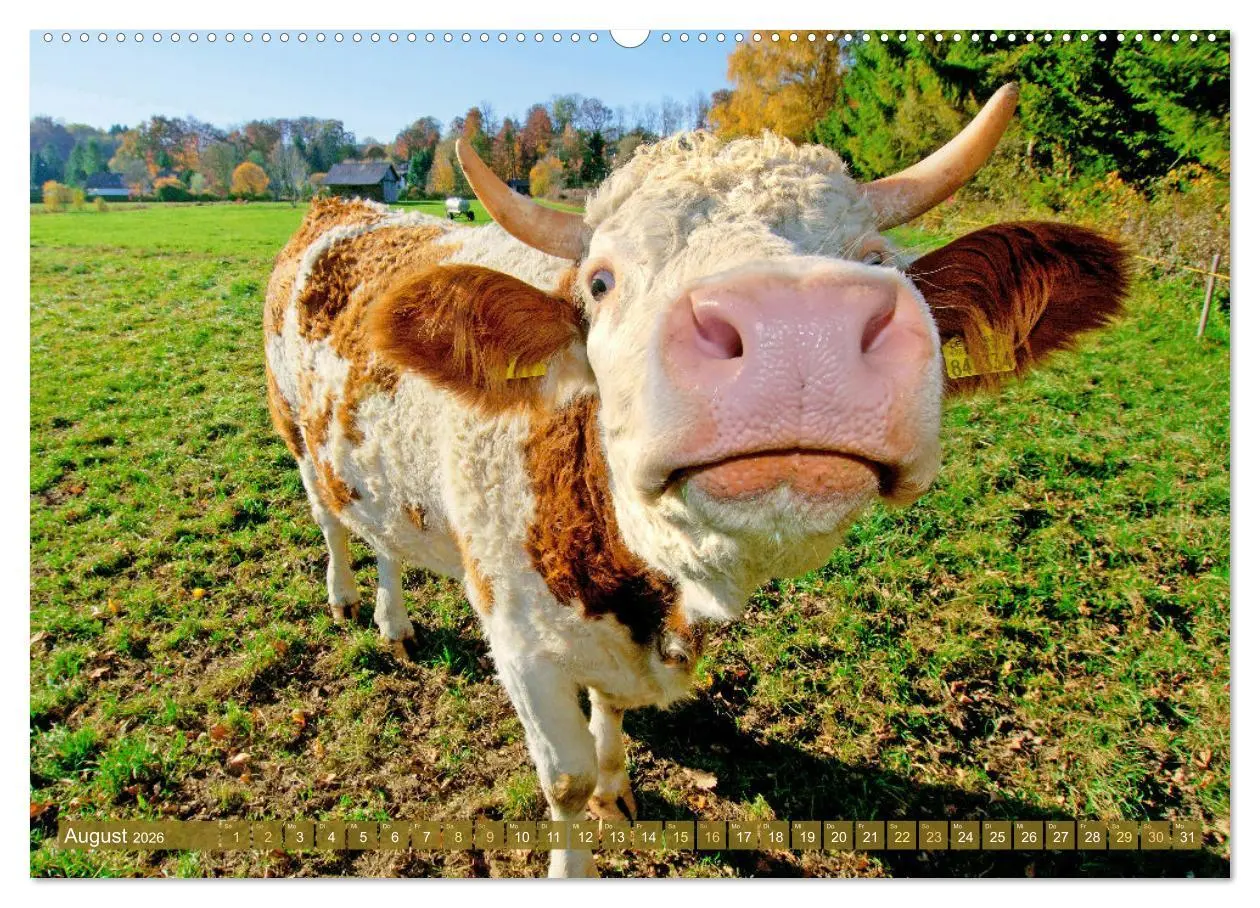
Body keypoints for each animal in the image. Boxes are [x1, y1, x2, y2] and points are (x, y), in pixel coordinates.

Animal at [263, 84, 1126, 877]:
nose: (795, 333)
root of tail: (336, 204)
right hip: (295, 431)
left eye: (878, 260)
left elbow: (609, 720)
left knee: (380, 531)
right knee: (332, 522)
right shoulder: (518, 640)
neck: (641, 588)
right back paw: (351, 601)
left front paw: (617, 788)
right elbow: (564, 780)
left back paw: (393, 619)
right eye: (601, 282)